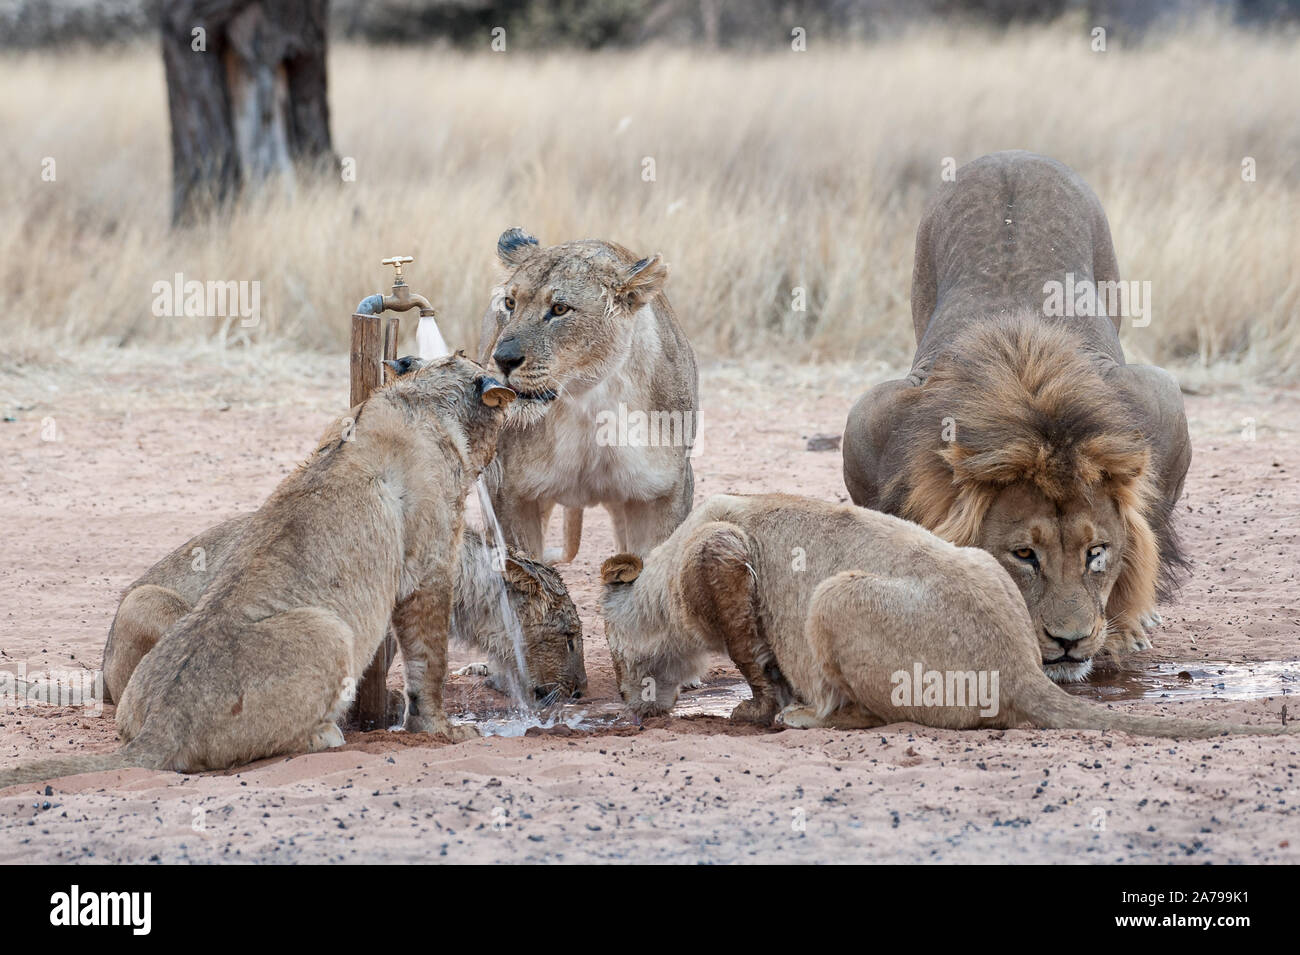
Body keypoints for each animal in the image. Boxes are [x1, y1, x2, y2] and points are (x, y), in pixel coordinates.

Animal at [842, 153, 1190, 686]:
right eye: (1023, 554)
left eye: (1096, 553)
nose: (1069, 642)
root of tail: (1011, 155)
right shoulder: (871, 421)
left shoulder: (1160, 401)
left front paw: (1125, 630)